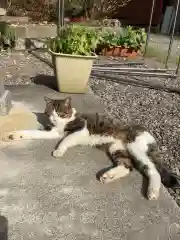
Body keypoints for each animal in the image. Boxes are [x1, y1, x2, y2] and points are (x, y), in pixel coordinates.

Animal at [6, 96, 162, 201]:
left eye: (60, 113)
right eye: (50, 113)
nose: (54, 119)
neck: (65, 121)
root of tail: (147, 133)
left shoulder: (81, 128)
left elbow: (66, 139)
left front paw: (59, 150)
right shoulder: (54, 132)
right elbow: (34, 133)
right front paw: (14, 135)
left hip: (135, 146)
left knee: (153, 170)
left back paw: (152, 192)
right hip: (116, 148)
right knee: (127, 166)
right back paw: (108, 175)